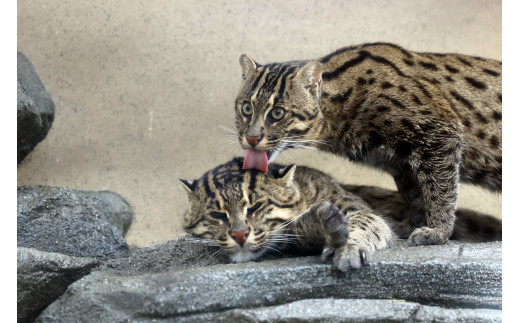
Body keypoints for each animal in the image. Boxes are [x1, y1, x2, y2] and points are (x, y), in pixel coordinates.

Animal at [236, 42, 500, 246]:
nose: (251, 137)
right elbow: (415, 196)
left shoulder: (440, 134)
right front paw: (410, 225)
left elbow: (440, 191)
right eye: (246, 108)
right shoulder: (401, 163)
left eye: (278, 113)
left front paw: (438, 231)